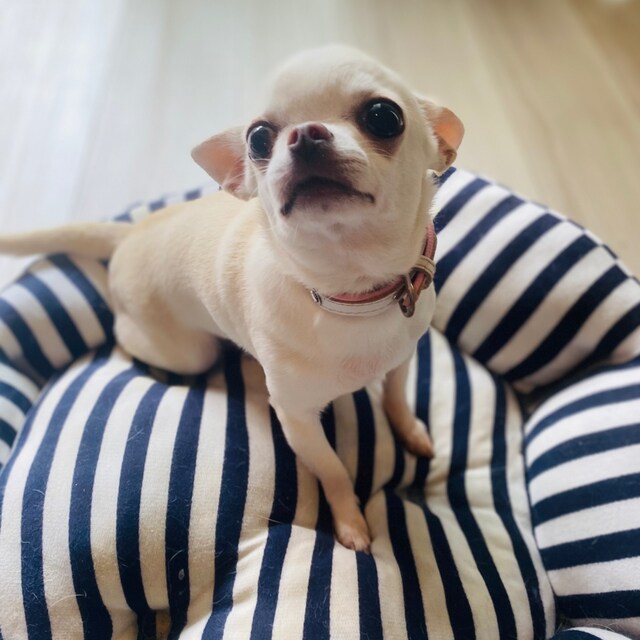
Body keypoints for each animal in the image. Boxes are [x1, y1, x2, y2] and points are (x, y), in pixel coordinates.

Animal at [0, 45, 463, 551]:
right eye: (259, 139)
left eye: (384, 116)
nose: (305, 133)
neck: (351, 293)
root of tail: (133, 231)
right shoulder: (299, 421)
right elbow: (334, 471)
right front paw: (351, 525)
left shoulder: (404, 356)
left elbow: (396, 395)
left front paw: (411, 431)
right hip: (187, 351)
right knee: (133, 338)